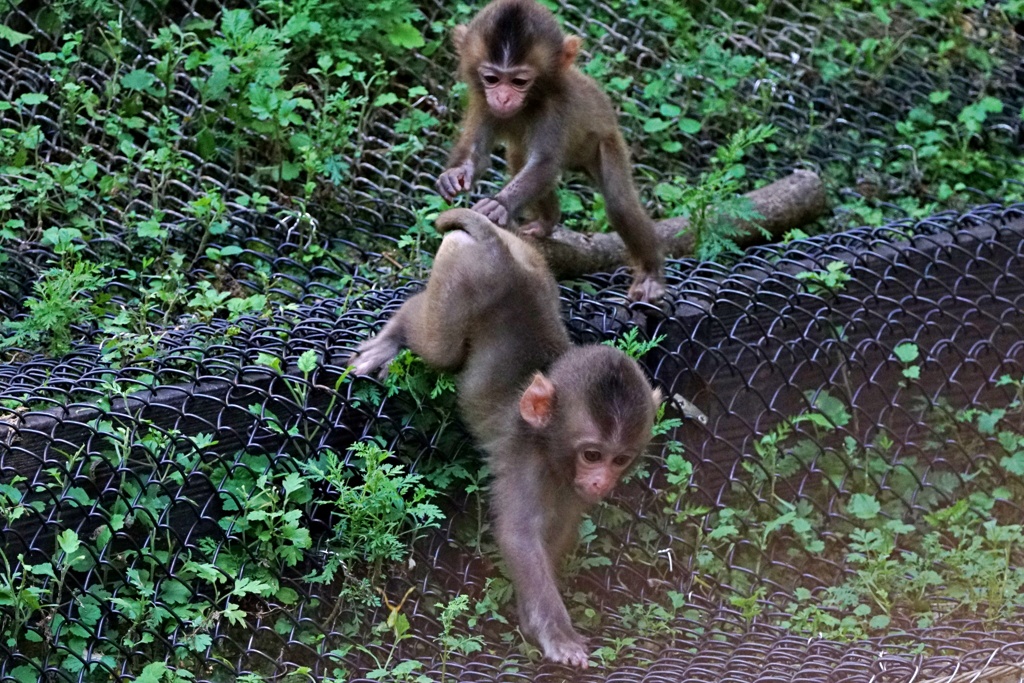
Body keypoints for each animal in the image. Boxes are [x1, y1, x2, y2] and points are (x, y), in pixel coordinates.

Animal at [348, 208, 659, 667]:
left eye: (620, 459)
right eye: (592, 454)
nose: (602, 481)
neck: (550, 448)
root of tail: (496, 246)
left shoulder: (569, 486)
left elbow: (558, 529)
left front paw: (533, 618)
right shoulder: (526, 460)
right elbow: (520, 535)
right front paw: (557, 634)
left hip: (528, 257)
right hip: (459, 272)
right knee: (439, 347)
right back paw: (396, 335)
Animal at [434, 0, 663, 305]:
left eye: (519, 81)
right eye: (492, 78)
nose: (503, 98)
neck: (530, 102)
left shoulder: (556, 106)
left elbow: (544, 164)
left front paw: (499, 204)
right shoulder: (482, 102)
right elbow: (478, 154)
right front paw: (455, 175)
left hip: (606, 142)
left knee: (620, 203)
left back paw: (650, 274)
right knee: (518, 157)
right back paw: (546, 222)